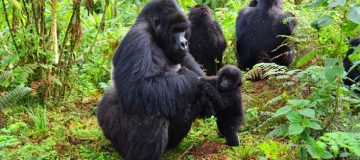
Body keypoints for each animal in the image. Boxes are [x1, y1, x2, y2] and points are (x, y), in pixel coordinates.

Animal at [97, 0, 212, 159]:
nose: (184, 43)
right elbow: (137, 89)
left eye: (183, 30)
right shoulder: (138, 38)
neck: (155, 34)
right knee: (151, 110)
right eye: (175, 30)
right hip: (112, 130)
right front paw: (192, 78)